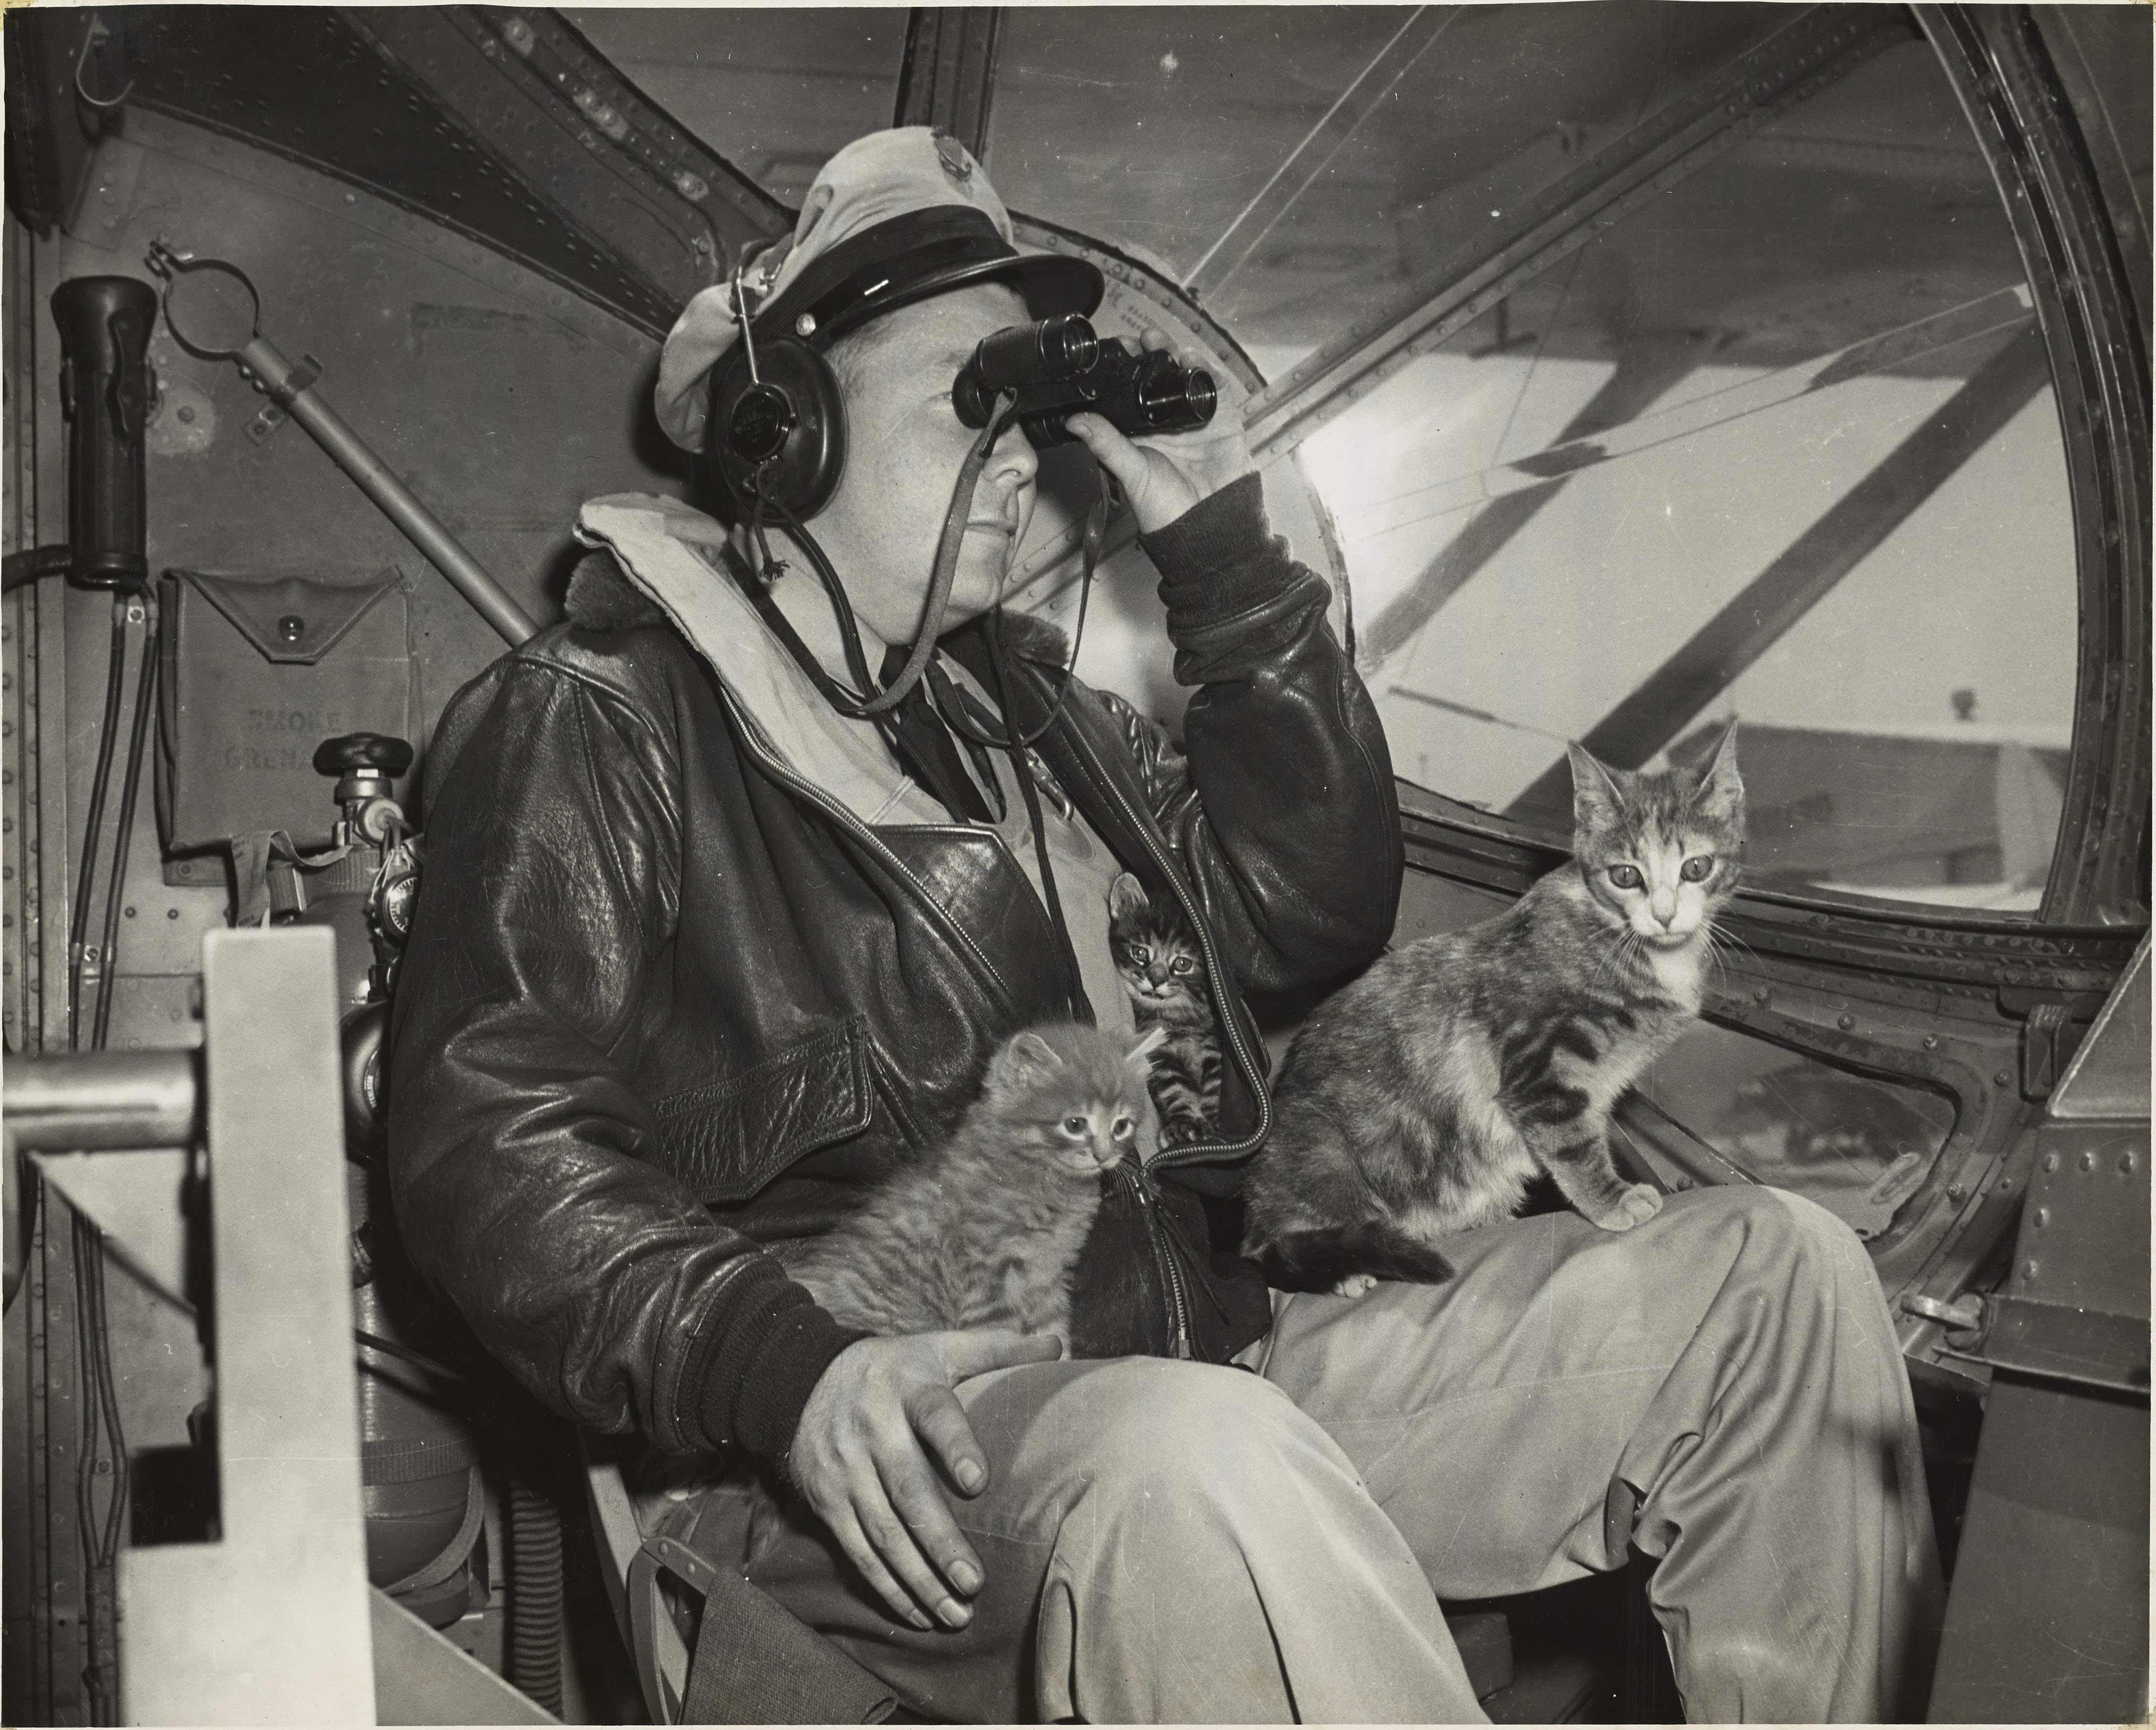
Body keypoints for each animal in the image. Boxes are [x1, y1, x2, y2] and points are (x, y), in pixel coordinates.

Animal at [767, 1018, 1155, 1337]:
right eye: (1075, 1125)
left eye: (1121, 1126)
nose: (1104, 1156)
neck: (1045, 1180)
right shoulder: (987, 1270)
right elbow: (1004, 1335)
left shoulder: (1048, 1275)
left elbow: (1053, 1330)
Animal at [1241, 720, 1742, 1286]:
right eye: (1625, 875)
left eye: (1696, 867)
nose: (1664, 915)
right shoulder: (1539, 1068)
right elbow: (1571, 1142)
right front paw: (1610, 1201)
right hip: (1324, 1155)